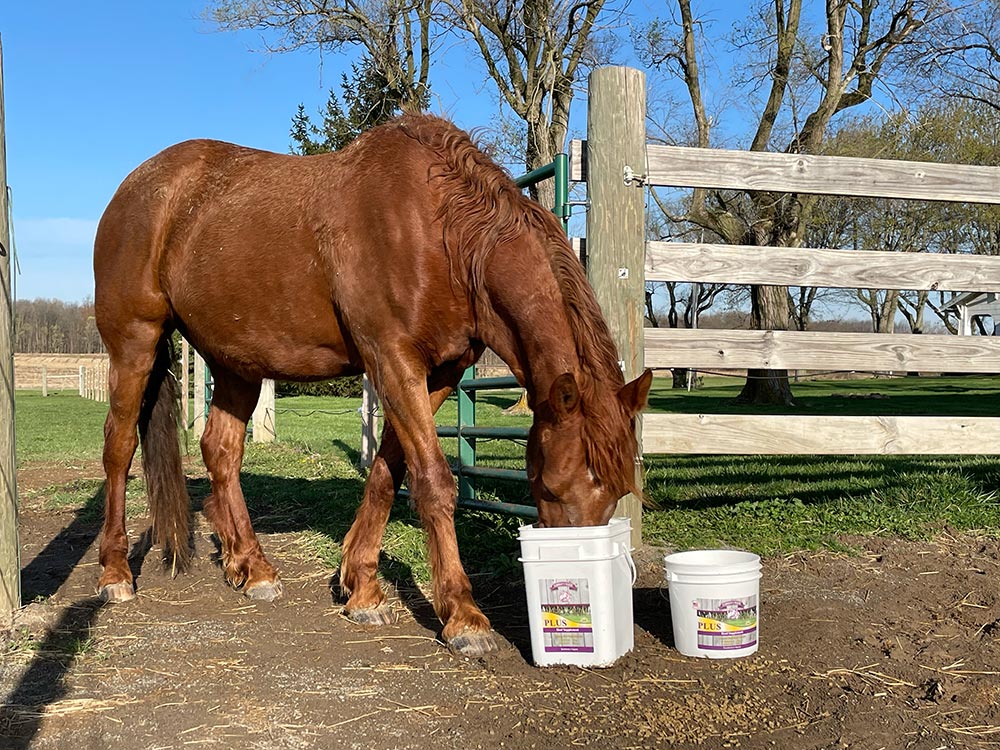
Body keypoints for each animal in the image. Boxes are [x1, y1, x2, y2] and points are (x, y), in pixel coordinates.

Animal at [94, 113, 652, 656]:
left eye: (618, 491)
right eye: (550, 486)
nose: (573, 573)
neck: (439, 230)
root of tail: (137, 187)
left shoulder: (439, 374)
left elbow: (388, 471)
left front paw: (360, 586)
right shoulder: (392, 359)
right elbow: (433, 480)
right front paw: (463, 616)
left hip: (236, 365)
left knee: (221, 451)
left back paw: (251, 567)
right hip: (135, 343)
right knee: (119, 447)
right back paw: (116, 572)